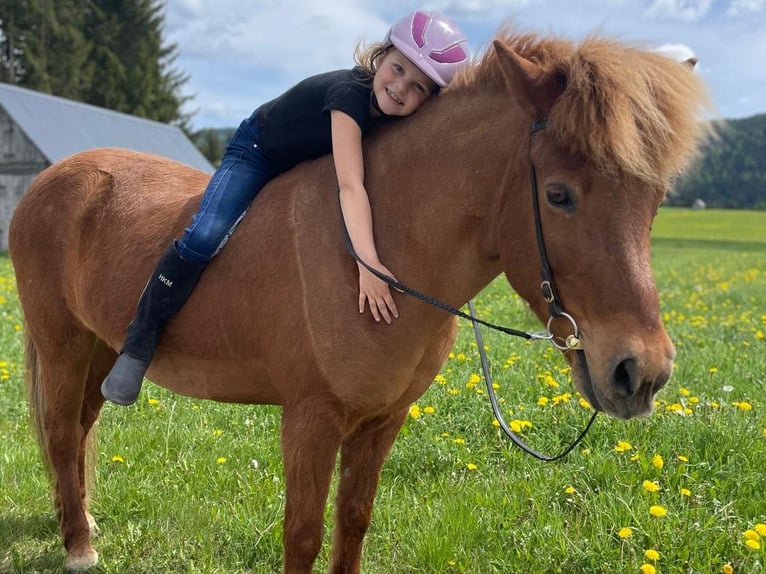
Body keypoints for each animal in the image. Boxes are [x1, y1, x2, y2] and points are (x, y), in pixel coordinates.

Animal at [9, 31, 710, 573]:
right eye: (559, 195)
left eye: (653, 201)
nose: (641, 372)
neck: (381, 252)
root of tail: (50, 181)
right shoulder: (310, 420)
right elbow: (303, 535)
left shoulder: (381, 421)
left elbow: (353, 519)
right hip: (63, 346)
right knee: (62, 435)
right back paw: (78, 547)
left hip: (100, 348)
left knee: (80, 429)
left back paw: (84, 522)